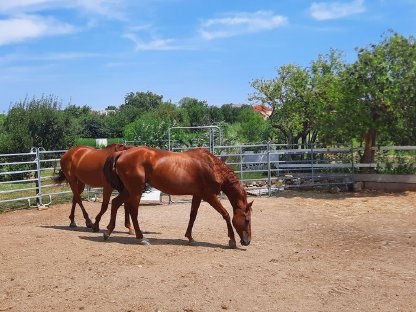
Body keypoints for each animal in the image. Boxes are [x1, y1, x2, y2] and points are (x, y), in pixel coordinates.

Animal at [103, 147, 254, 249]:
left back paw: (108, 232)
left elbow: (193, 215)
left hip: (129, 190)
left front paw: (190, 237)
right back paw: (141, 238)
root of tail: (121, 153)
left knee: (115, 203)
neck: (212, 167)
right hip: (135, 190)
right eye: (247, 220)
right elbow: (226, 214)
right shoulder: (210, 196)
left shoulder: (197, 195)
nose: (247, 241)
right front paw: (232, 240)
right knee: (133, 211)